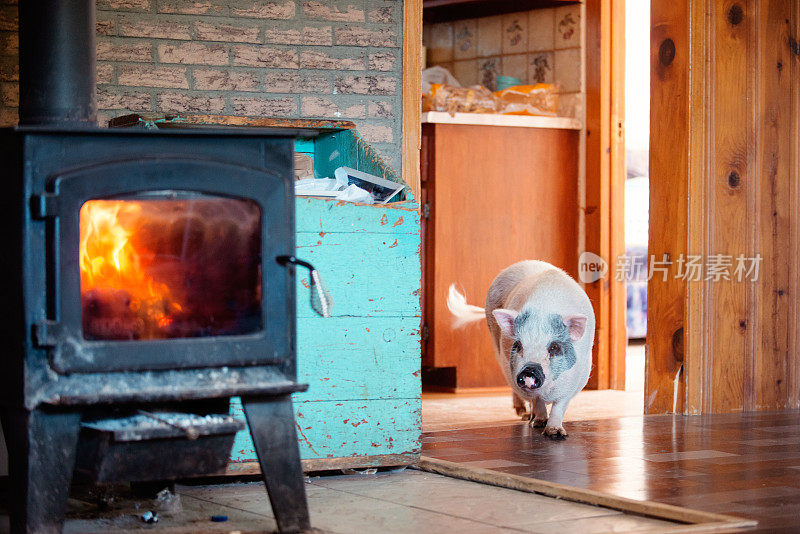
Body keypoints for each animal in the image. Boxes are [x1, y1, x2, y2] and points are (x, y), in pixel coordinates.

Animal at [446, 260, 596, 440]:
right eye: (518, 345)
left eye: (554, 347)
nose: (530, 370)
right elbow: (537, 400)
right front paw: (539, 423)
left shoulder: (575, 379)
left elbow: (559, 405)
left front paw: (555, 433)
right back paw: (525, 415)